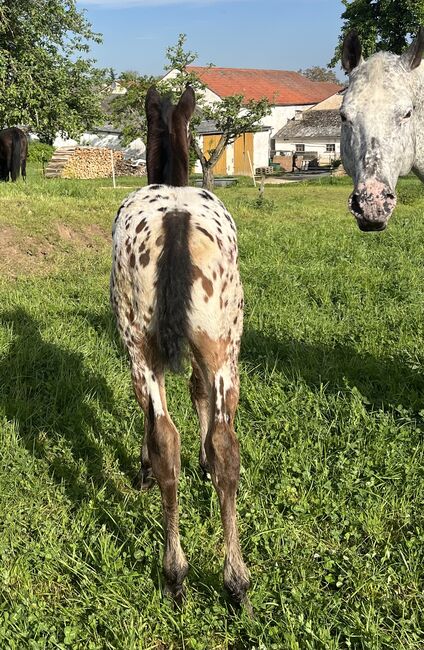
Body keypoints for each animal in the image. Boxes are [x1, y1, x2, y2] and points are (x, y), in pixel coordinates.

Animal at [109, 85, 250, 604]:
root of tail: (177, 219)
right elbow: (198, 397)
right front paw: (202, 464)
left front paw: (143, 468)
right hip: (223, 344)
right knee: (224, 444)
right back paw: (233, 580)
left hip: (144, 346)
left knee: (167, 437)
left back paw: (177, 573)